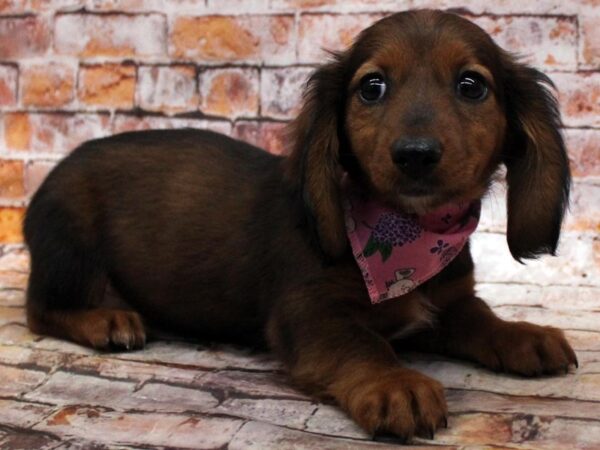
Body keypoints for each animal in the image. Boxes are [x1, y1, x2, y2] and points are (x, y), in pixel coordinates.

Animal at [24, 8, 576, 442]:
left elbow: (481, 317)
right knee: (40, 309)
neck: (407, 234)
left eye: (471, 85)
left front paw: (523, 334)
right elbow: (362, 343)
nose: (415, 155)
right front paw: (395, 383)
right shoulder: (307, 312)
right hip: (71, 247)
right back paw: (107, 320)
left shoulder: (448, 303)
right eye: (372, 87)